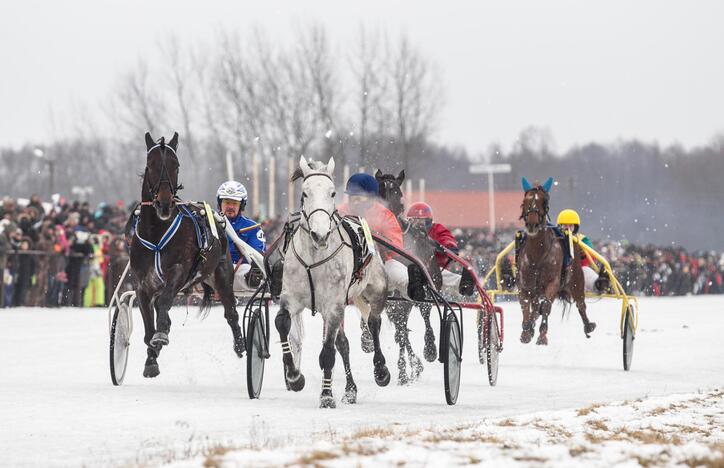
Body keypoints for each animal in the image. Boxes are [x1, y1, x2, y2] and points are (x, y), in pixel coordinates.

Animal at [129, 131, 245, 376]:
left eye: (176, 165)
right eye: (150, 164)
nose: (164, 203)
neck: (156, 233)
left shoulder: (179, 271)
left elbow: (164, 304)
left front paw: (161, 335)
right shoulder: (142, 284)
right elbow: (148, 326)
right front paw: (151, 359)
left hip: (221, 275)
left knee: (231, 312)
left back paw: (240, 345)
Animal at [276, 155, 390, 408]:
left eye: (332, 193)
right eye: (305, 193)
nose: (320, 235)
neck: (314, 258)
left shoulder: (334, 305)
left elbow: (327, 353)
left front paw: (326, 396)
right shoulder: (291, 298)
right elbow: (281, 324)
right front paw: (294, 376)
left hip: (376, 288)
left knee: (374, 323)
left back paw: (381, 370)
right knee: (344, 344)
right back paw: (350, 390)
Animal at [376, 170, 438, 382]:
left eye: (397, 192)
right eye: (379, 188)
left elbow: (424, 310)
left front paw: (429, 349)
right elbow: (400, 328)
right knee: (401, 327)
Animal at [516, 177, 596, 346]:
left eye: (544, 201)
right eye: (525, 201)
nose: (532, 224)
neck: (537, 256)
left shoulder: (553, 282)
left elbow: (546, 306)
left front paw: (542, 337)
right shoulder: (524, 283)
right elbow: (525, 305)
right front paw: (526, 332)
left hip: (576, 280)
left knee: (580, 303)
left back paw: (588, 326)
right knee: (535, 306)